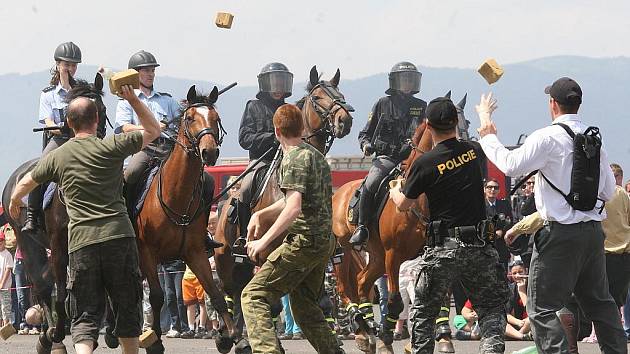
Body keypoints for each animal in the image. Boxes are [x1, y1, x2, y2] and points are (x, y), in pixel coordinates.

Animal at [336, 92, 470, 352]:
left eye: (466, 123)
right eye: (448, 124)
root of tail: (339, 193)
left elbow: (438, 300)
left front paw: (443, 337)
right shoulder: (394, 255)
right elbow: (396, 303)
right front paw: (387, 340)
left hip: (376, 256)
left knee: (361, 282)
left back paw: (368, 329)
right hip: (346, 249)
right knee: (344, 286)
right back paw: (362, 328)